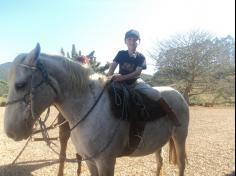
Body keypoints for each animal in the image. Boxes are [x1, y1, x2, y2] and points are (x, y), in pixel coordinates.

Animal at [4, 43, 190, 175]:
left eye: (20, 85)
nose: (10, 132)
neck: (88, 109)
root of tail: (178, 94)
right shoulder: (90, 161)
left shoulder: (106, 162)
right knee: (160, 162)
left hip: (180, 137)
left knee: (181, 164)